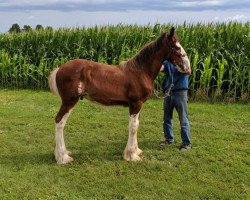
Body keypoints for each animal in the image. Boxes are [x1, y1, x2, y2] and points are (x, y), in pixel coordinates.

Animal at [47, 27, 190, 164]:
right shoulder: (135, 104)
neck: (141, 71)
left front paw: (136, 151)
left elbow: (137, 124)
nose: (187, 68)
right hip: (69, 101)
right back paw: (63, 158)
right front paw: (132, 156)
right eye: (176, 47)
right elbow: (133, 127)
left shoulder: (138, 105)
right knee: (60, 122)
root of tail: (59, 69)